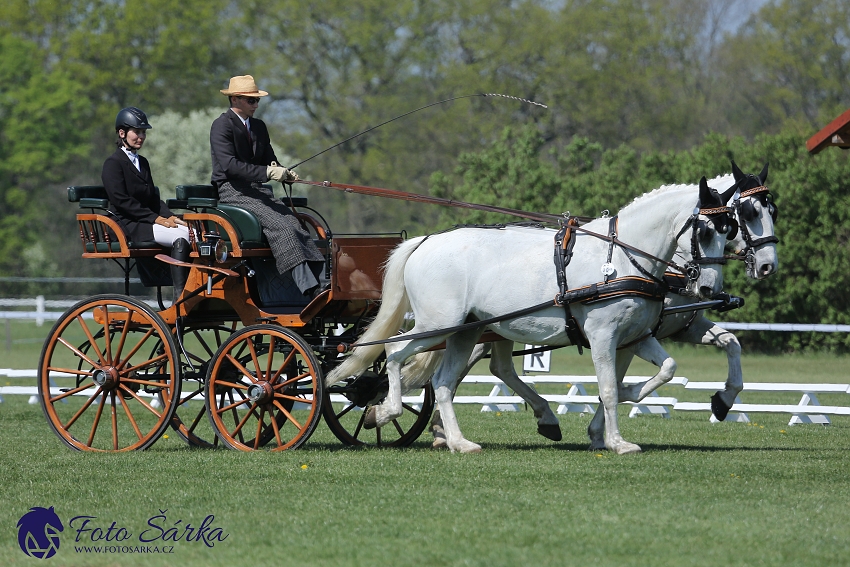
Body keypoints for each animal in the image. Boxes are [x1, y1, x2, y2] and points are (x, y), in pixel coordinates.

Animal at [328, 178, 732, 452]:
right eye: (705, 231)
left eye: (729, 231)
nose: (709, 288)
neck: (621, 258)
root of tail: (424, 242)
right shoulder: (603, 336)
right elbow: (607, 388)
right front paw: (617, 442)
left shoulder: (637, 335)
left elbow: (665, 369)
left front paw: (630, 396)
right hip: (436, 326)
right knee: (395, 353)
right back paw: (387, 410)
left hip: (466, 331)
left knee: (443, 382)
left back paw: (460, 442)